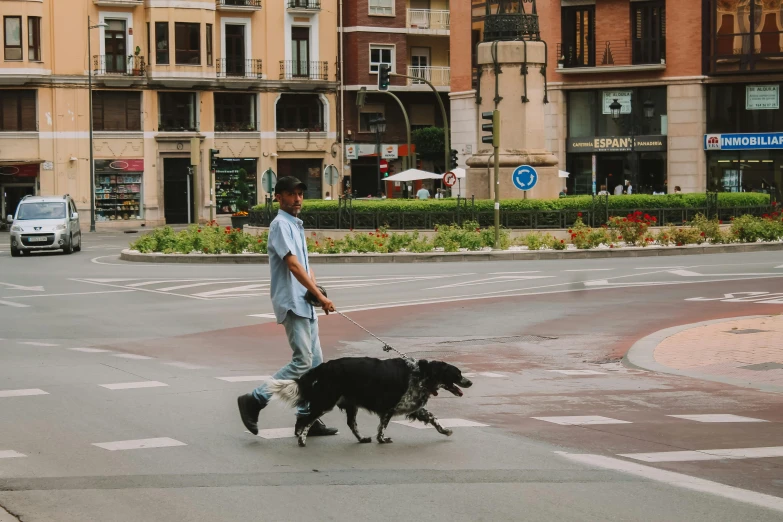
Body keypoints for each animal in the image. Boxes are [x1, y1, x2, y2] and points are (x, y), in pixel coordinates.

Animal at [270, 356, 472, 444]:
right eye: (457, 374)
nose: (470, 382)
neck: (423, 374)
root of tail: (325, 366)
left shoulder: (413, 406)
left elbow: (432, 418)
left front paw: (445, 430)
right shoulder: (390, 406)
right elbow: (383, 426)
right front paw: (382, 439)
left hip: (349, 404)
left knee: (351, 424)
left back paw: (362, 439)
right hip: (326, 401)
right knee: (307, 419)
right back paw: (302, 439)